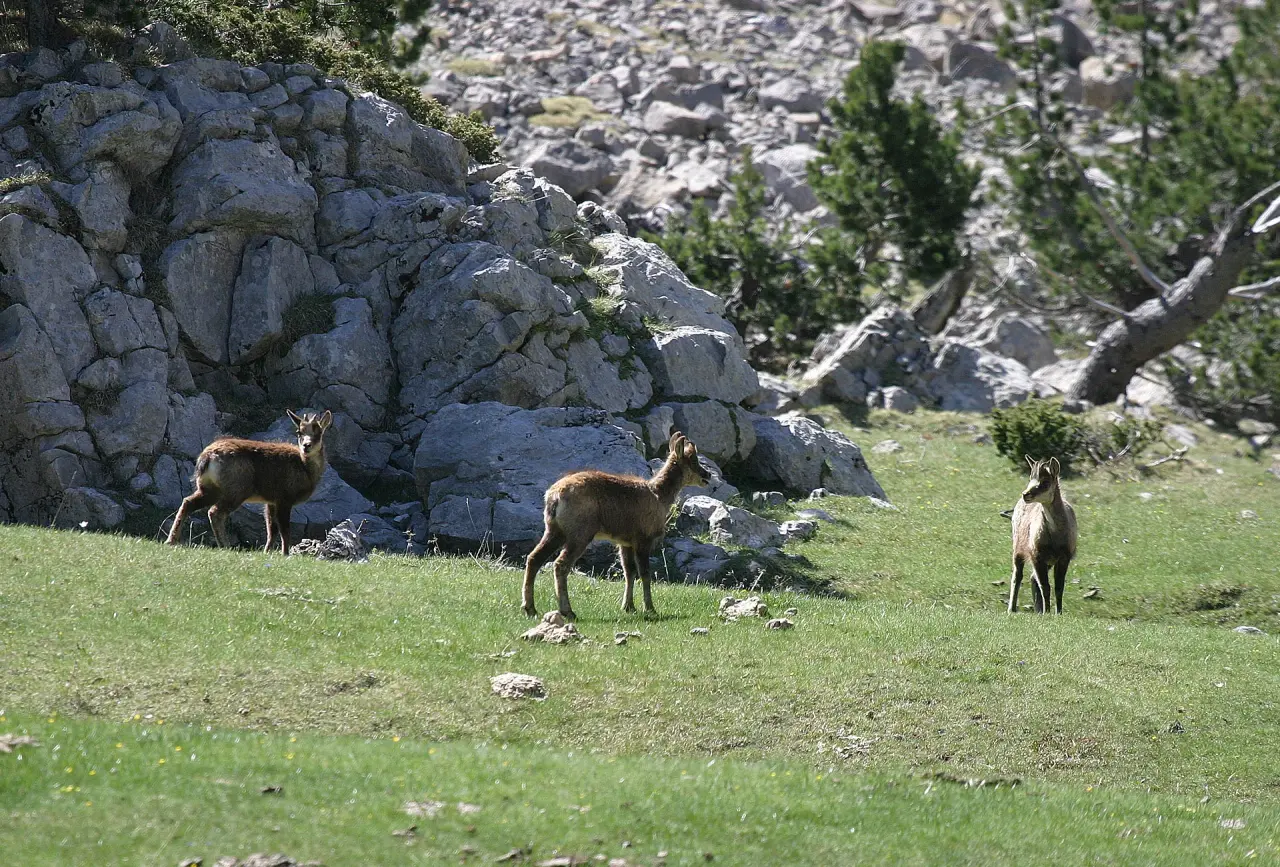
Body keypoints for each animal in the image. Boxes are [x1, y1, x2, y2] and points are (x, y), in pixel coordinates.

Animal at [166, 410, 333, 554]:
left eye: (318, 432)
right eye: (299, 432)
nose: (306, 446)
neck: (305, 469)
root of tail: (206, 458)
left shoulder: (271, 500)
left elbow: (271, 529)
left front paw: (267, 552)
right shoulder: (284, 498)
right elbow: (284, 529)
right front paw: (285, 554)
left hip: (209, 488)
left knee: (188, 502)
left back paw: (171, 540)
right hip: (237, 489)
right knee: (215, 512)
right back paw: (225, 545)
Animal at [522, 431, 711, 619]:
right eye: (693, 460)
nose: (707, 475)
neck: (659, 496)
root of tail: (554, 496)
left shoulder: (625, 542)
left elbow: (629, 572)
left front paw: (628, 607)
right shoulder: (643, 538)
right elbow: (645, 573)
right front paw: (650, 608)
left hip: (555, 530)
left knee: (534, 558)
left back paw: (530, 608)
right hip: (580, 533)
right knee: (560, 564)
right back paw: (567, 611)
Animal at [1009, 455, 1078, 614]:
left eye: (1045, 482)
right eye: (1030, 478)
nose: (1025, 494)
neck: (1055, 536)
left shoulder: (1063, 557)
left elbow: (1059, 587)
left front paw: (1058, 613)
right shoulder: (1037, 555)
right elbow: (1045, 587)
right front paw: (1048, 612)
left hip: (1049, 562)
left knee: (1033, 578)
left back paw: (1038, 609)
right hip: (1018, 548)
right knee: (1017, 576)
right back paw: (1012, 609)